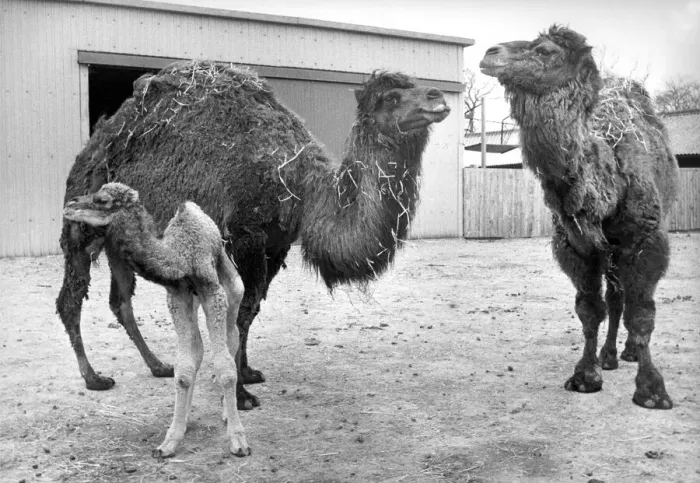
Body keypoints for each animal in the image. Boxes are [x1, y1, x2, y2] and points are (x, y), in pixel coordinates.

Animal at [56, 61, 451, 409]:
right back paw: (93, 377)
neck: (299, 184)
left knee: (120, 301)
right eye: (391, 98)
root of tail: (93, 143)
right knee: (71, 298)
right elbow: (241, 309)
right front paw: (241, 393)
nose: (438, 96)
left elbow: (253, 308)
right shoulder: (248, 236)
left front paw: (247, 372)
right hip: (81, 225)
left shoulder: (277, 245)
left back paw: (158, 365)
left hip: (117, 238)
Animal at [63, 182, 250, 458]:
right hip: (192, 302)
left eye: (103, 200)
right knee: (197, 349)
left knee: (232, 336)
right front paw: (170, 440)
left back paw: (227, 413)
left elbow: (225, 367)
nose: (70, 204)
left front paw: (238, 440)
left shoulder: (213, 293)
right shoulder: (177, 296)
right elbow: (183, 368)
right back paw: (187, 418)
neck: (180, 258)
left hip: (230, 287)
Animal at [480, 25, 679, 409]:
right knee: (615, 298)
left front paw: (652, 391)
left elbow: (642, 313)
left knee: (626, 299)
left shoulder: (646, 241)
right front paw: (586, 375)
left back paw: (629, 353)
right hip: (608, 251)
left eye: (545, 50)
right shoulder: (576, 247)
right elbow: (589, 311)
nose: (489, 53)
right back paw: (610, 356)